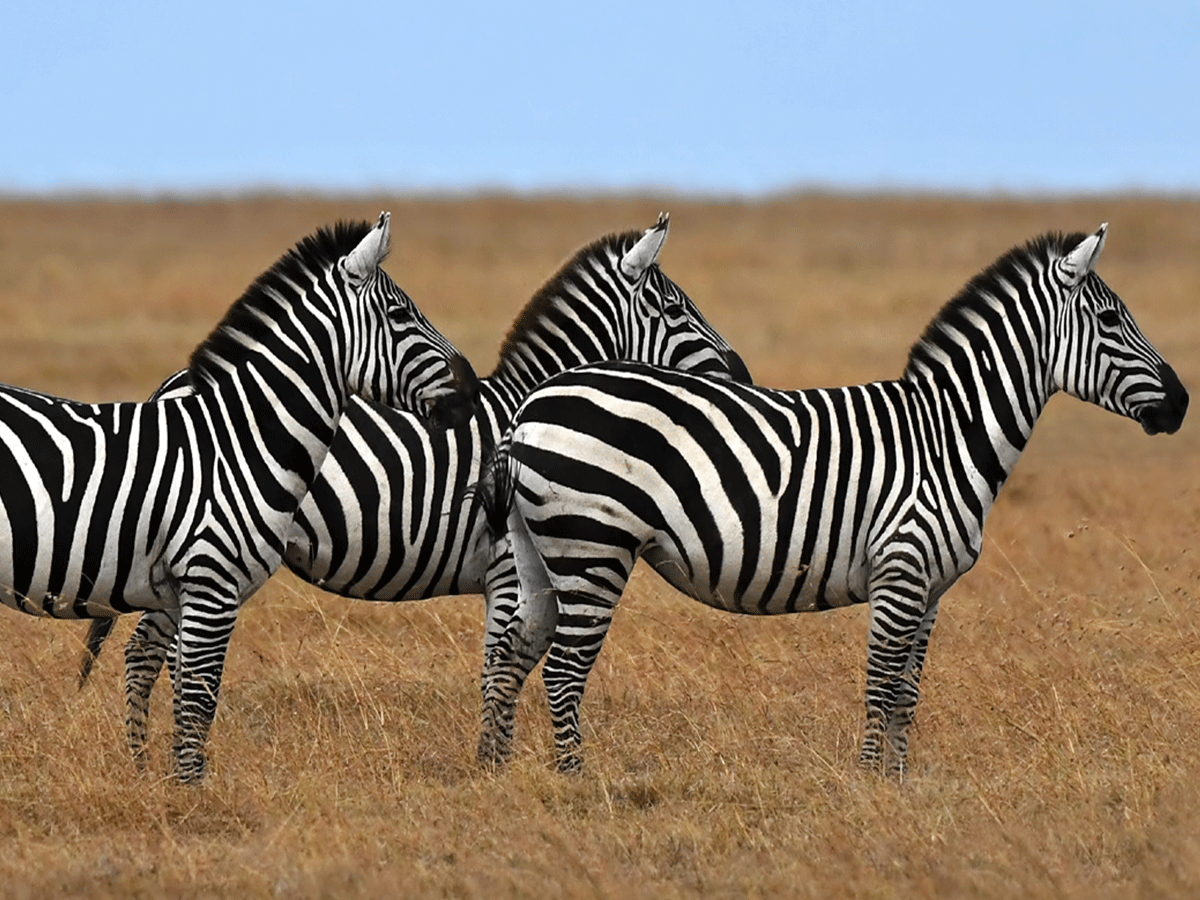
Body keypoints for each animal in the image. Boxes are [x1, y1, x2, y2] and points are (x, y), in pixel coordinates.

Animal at [7, 213, 482, 782]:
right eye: (399, 314)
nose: (472, 391)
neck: (240, 439)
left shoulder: (187, 590)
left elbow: (187, 696)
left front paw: (173, 784)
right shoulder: (212, 583)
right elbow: (198, 701)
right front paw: (190, 796)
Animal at [75, 214, 748, 763]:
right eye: (677, 311)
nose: (740, 373)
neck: (529, 410)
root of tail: (174, 386)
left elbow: (504, 666)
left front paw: (491, 764)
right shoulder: (508, 570)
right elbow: (500, 668)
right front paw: (492, 769)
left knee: (145, 653)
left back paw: (141, 762)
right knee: (146, 655)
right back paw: (144, 764)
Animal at [477, 224, 1190, 777]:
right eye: (1110, 320)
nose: (1182, 404)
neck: (947, 432)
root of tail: (530, 406)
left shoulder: (930, 588)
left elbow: (907, 693)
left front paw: (898, 786)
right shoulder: (901, 570)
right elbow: (880, 686)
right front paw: (871, 784)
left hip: (538, 553)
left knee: (510, 656)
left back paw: (497, 773)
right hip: (591, 546)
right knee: (563, 671)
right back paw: (576, 782)